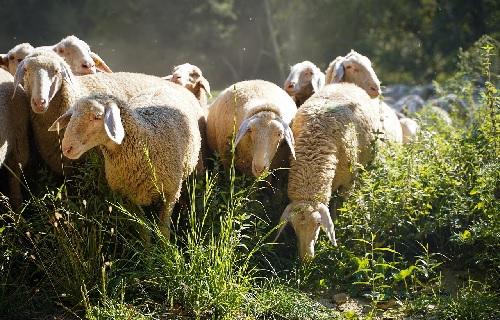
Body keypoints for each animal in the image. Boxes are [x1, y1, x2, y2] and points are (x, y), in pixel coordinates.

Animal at [48, 90, 200, 238]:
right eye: (72, 115)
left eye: (97, 117)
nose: (66, 148)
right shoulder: (128, 197)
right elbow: (143, 230)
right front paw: (147, 246)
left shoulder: (171, 193)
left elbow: (164, 229)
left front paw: (165, 245)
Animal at [278, 82, 378, 260]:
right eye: (293, 227)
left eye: (319, 224)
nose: (306, 258)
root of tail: (347, 84)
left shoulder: (348, 184)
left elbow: (338, 209)